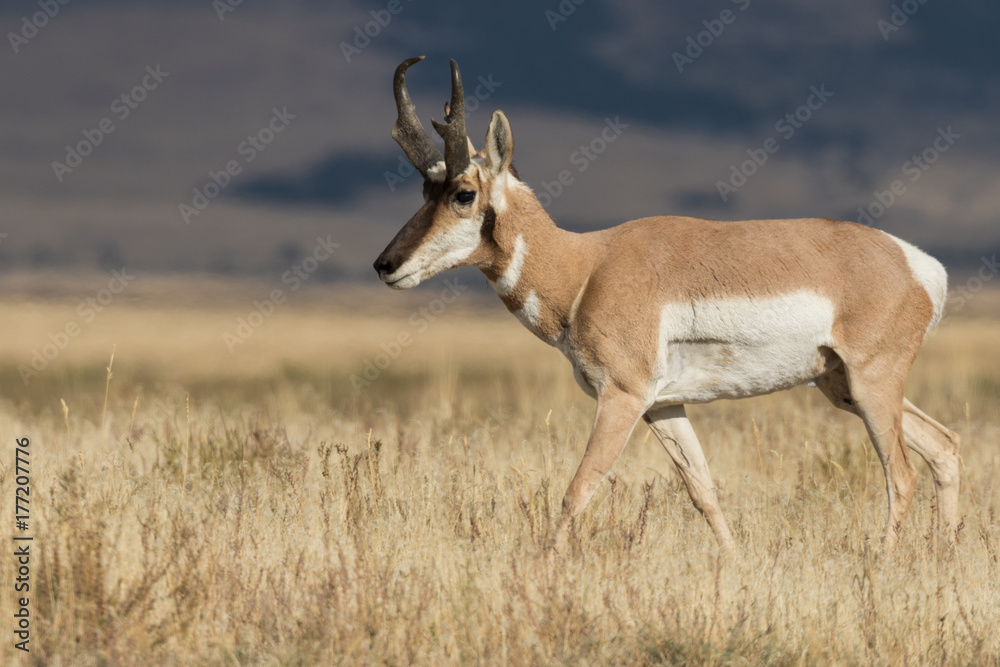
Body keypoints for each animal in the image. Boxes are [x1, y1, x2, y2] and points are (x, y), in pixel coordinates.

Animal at [373, 57, 961, 555]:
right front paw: (735, 567)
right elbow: (703, 490)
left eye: (463, 194)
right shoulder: (664, 405)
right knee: (944, 446)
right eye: (424, 192)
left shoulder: (622, 397)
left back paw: (884, 563)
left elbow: (579, 487)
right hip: (839, 385)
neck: (586, 267)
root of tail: (915, 263)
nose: (385, 264)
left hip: (871, 382)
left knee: (902, 473)